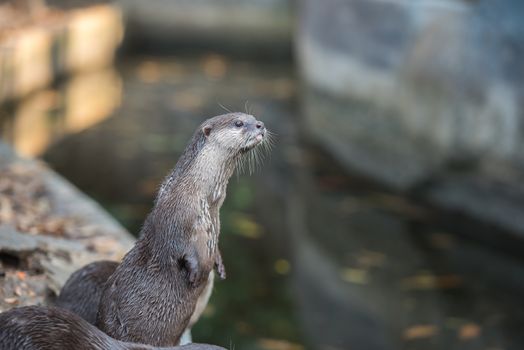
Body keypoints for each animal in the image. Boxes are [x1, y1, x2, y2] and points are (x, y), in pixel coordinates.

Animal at [56, 111, 270, 344]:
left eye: (252, 117)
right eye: (239, 123)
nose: (260, 125)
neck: (198, 194)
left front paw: (219, 263)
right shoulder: (175, 218)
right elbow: (176, 244)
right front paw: (195, 272)